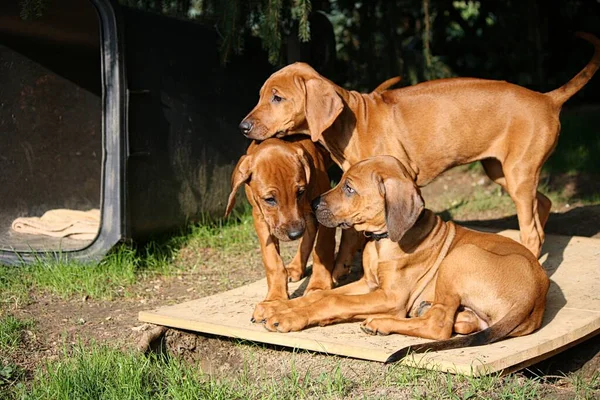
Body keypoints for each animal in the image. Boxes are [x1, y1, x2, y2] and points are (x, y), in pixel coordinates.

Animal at [226, 136, 364, 320]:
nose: (295, 233)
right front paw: (275, 299)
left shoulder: (322, 207)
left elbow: (323, 248)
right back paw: (297, 267)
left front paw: (319, 286)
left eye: (299, 192)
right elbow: (272, 260)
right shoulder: (260, 217)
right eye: (269, 199)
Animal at [239, 31, 600, 256]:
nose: (243, 127)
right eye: (260, 95)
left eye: (277, 97)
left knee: (532, 229)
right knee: (544, 204)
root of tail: (547, 99)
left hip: (518, 172)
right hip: (501, 171)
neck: (354, 121)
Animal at [255, 155, 552, 362]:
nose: (314, 204)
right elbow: (322, 295)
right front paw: (277, 307)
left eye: (349, 188)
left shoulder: (391, 296)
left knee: (438, 326)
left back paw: (381, 323)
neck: (382, 240)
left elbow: (332, 300)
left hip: (460, 256)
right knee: (464, 322)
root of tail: (535, 294)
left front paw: (290, 317)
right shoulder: (369, 284)